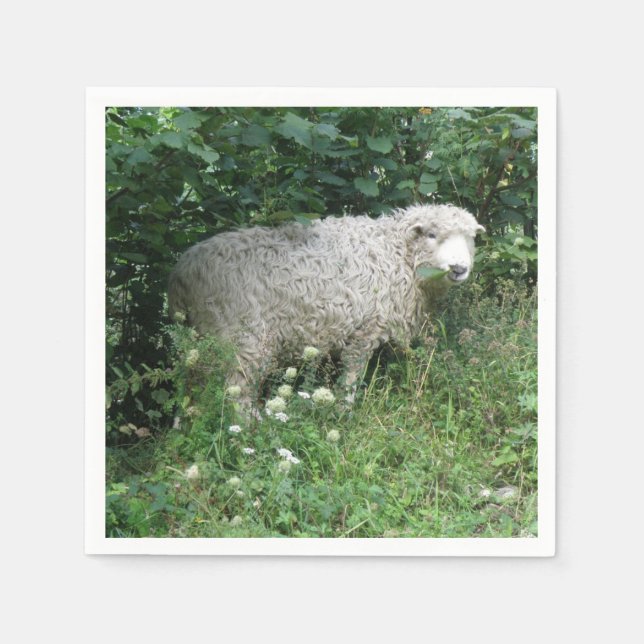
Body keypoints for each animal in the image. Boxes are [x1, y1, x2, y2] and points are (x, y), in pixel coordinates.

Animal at [168, 203, 485, 408]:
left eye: (470, 238)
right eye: (432, 234)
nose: (459, 268)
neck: (395, 253)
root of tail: (183, 272)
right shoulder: (365, 330)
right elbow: (351, 378)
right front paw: (344, 412)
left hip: (197, 339)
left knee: (189, 384)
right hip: (243, 337)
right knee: (236, 390)